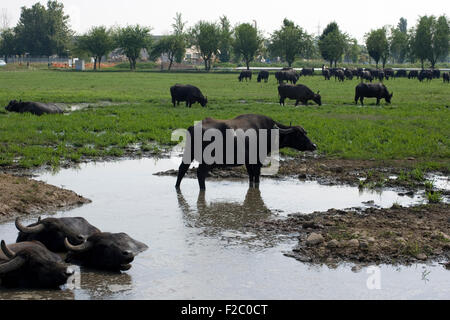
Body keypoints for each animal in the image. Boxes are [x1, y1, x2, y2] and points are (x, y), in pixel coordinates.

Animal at [174, 113, 318, 190]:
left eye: (305, 133)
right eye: (299, 134)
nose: (314, 145)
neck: (269, 131)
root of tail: (193, 127)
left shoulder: (249, 161)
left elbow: (250, 176)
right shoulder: (258, 159)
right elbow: (257, 175)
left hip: (188, 154)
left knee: (182, 169)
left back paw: (177, 187)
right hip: (207, 160)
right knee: (200, 173)